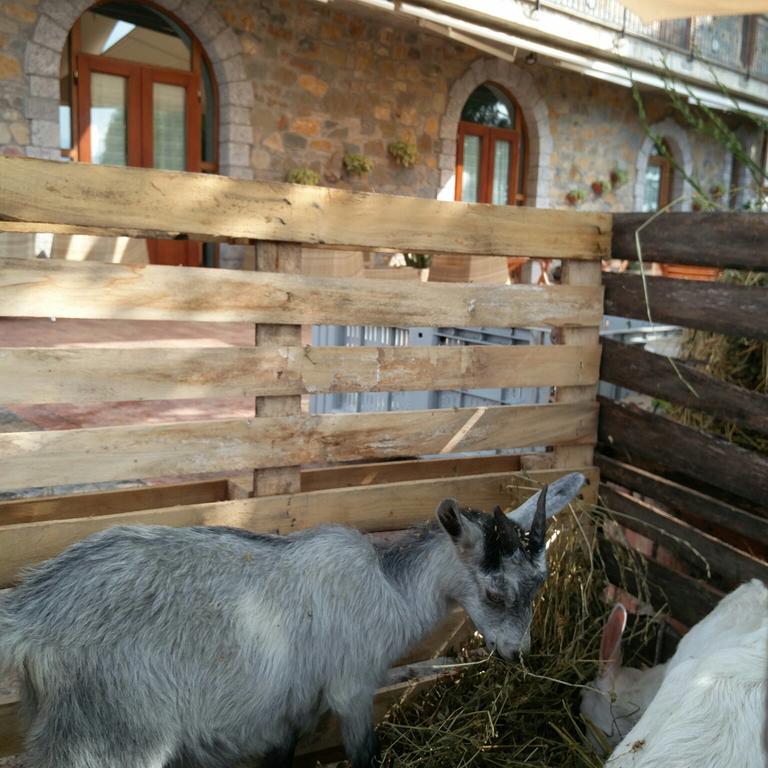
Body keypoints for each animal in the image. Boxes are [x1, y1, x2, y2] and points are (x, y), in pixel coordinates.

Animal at [0, 472, 584, 764]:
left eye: (541, 583)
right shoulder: (351, 687)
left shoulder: (292, 703)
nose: (517, 653)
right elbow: (364, 756)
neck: (389, 588)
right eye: (493, 591)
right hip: (112, 736)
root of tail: (33, 611)